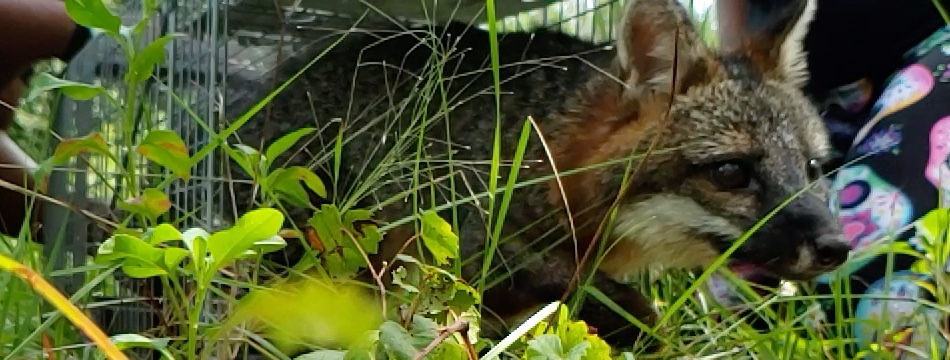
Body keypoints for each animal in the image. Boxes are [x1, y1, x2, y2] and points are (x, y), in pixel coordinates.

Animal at [223, 0, 848, 350]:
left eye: (814, 168)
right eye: (731, 172)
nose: (836, 246)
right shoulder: (453, 247)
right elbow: (575, 283)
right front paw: (640, 320)